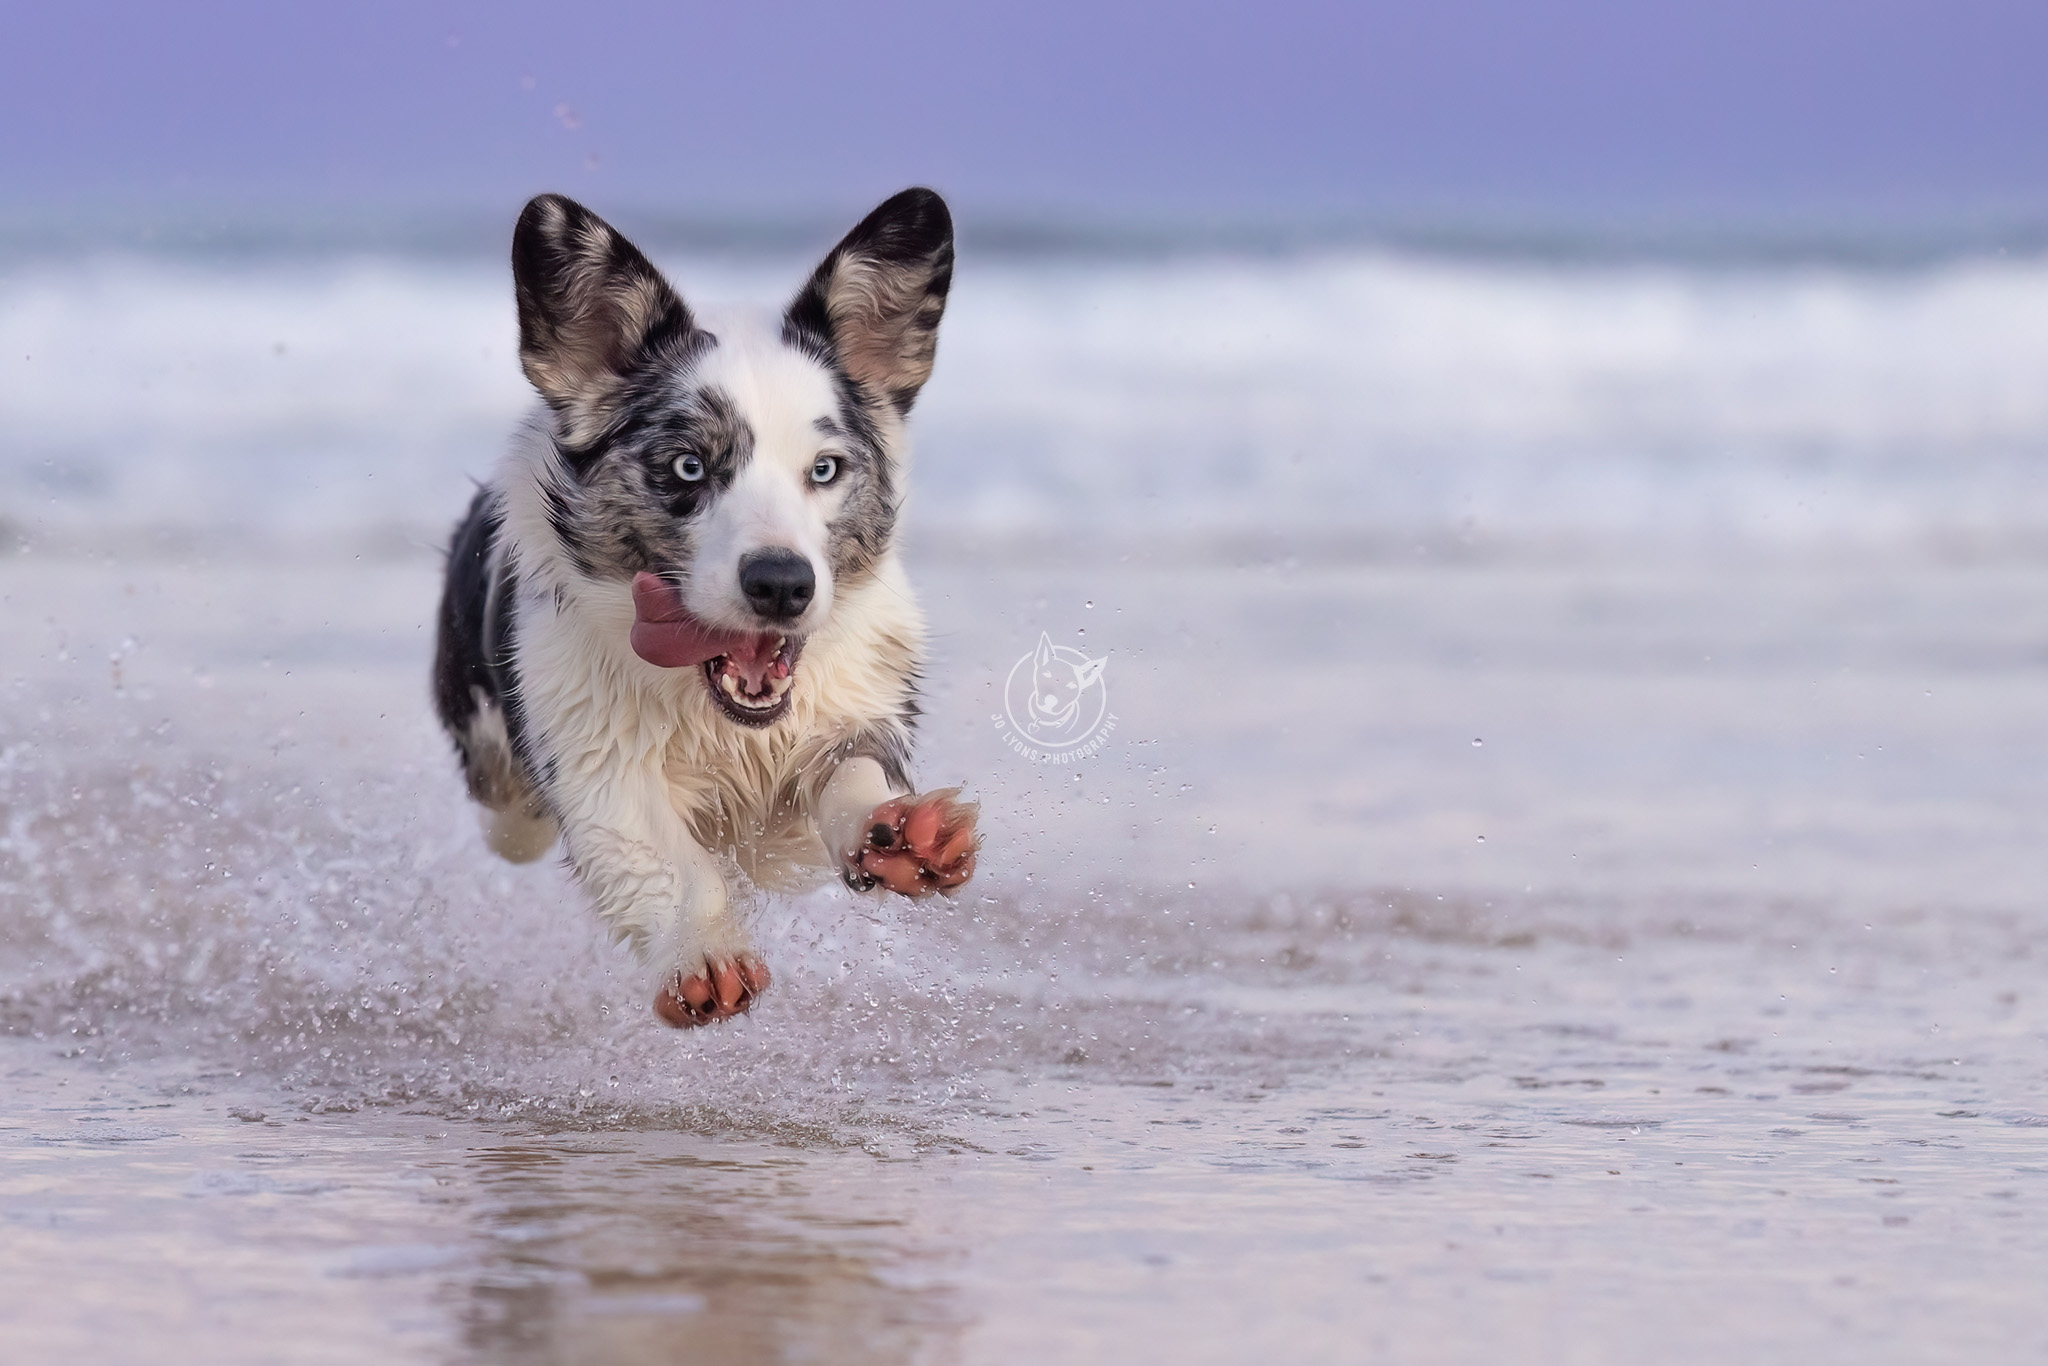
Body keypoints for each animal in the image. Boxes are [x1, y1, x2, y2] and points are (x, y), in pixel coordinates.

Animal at [430, 189, 974, 1023]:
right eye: (689, 466)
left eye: (825, 469)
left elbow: (849, 774)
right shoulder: (597, 763)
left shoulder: (841, 730)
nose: (782, 584)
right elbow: (668, 862)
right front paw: (704, 953)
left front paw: (904, 837)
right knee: (509, 819)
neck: (720, 722)